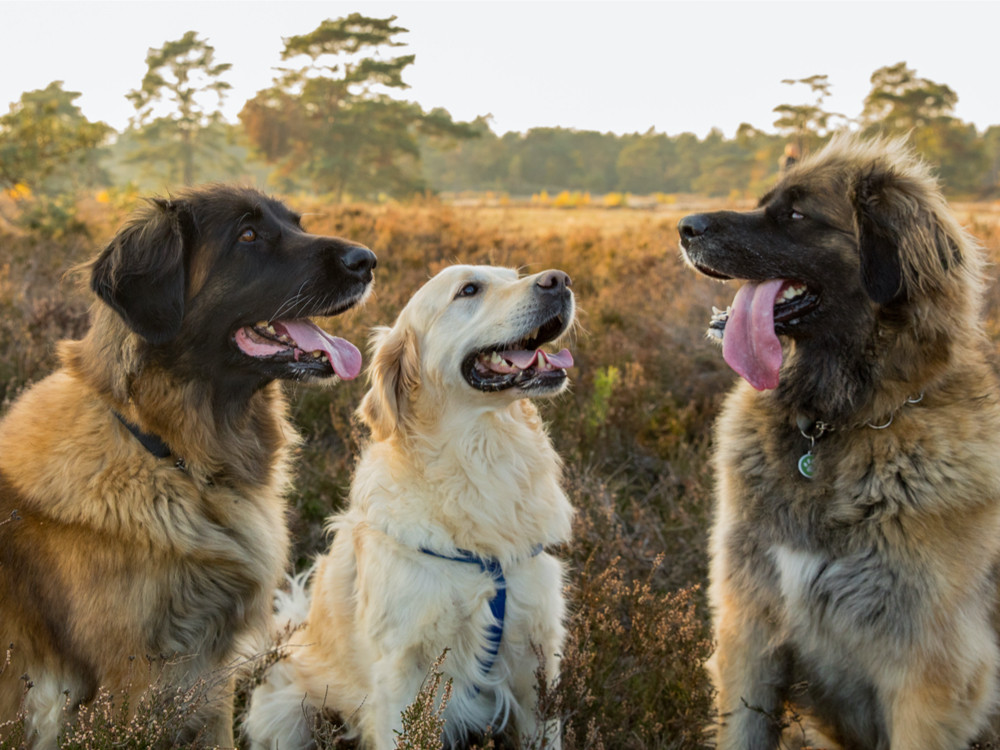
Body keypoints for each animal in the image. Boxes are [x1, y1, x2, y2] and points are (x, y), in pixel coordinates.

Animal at [0, 185, 376, 748]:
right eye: (248, 234)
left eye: (296, 224)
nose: (367, 261)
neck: (171, 455)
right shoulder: (132, 688)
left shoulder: (208, 678)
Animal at [680, 137, 1000, 750]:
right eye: (765, 203)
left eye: (797, 216)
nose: (685, 226)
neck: (838, 424)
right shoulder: (750, 631)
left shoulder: (929, 674)